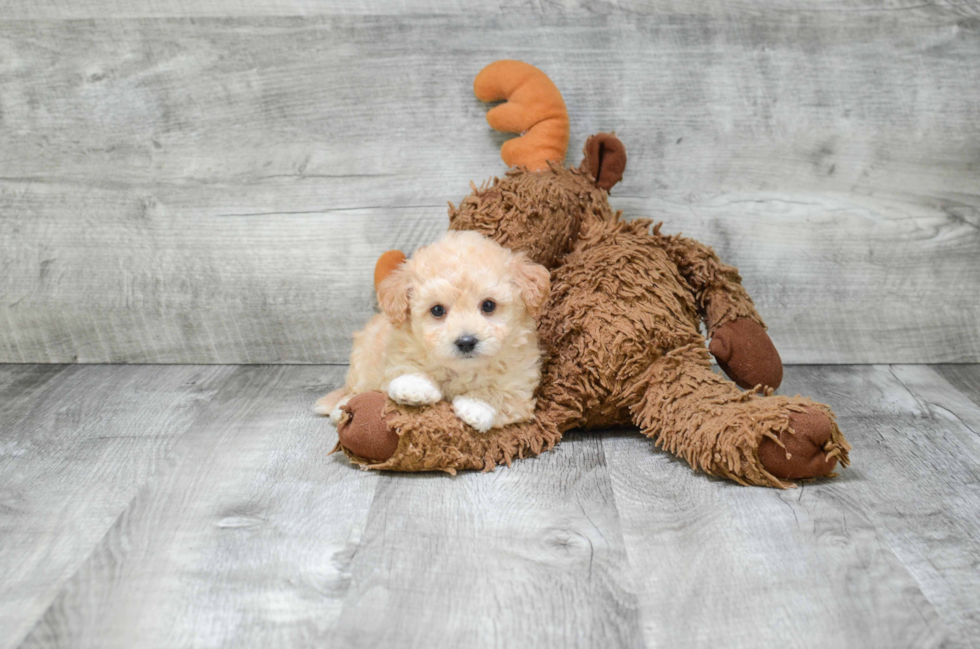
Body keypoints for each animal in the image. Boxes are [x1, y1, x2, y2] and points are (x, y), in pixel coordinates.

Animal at [314, 230, 552, 432]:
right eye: (437, 310)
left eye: (488, 305)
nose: (466, 341)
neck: (461, 370)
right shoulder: (398, 350)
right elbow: (402, 367)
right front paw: (414, 386)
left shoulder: (520, 385)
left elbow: (502, 394)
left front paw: (476, 404)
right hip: (362, 361)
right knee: (356, 389)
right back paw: (342, 406)